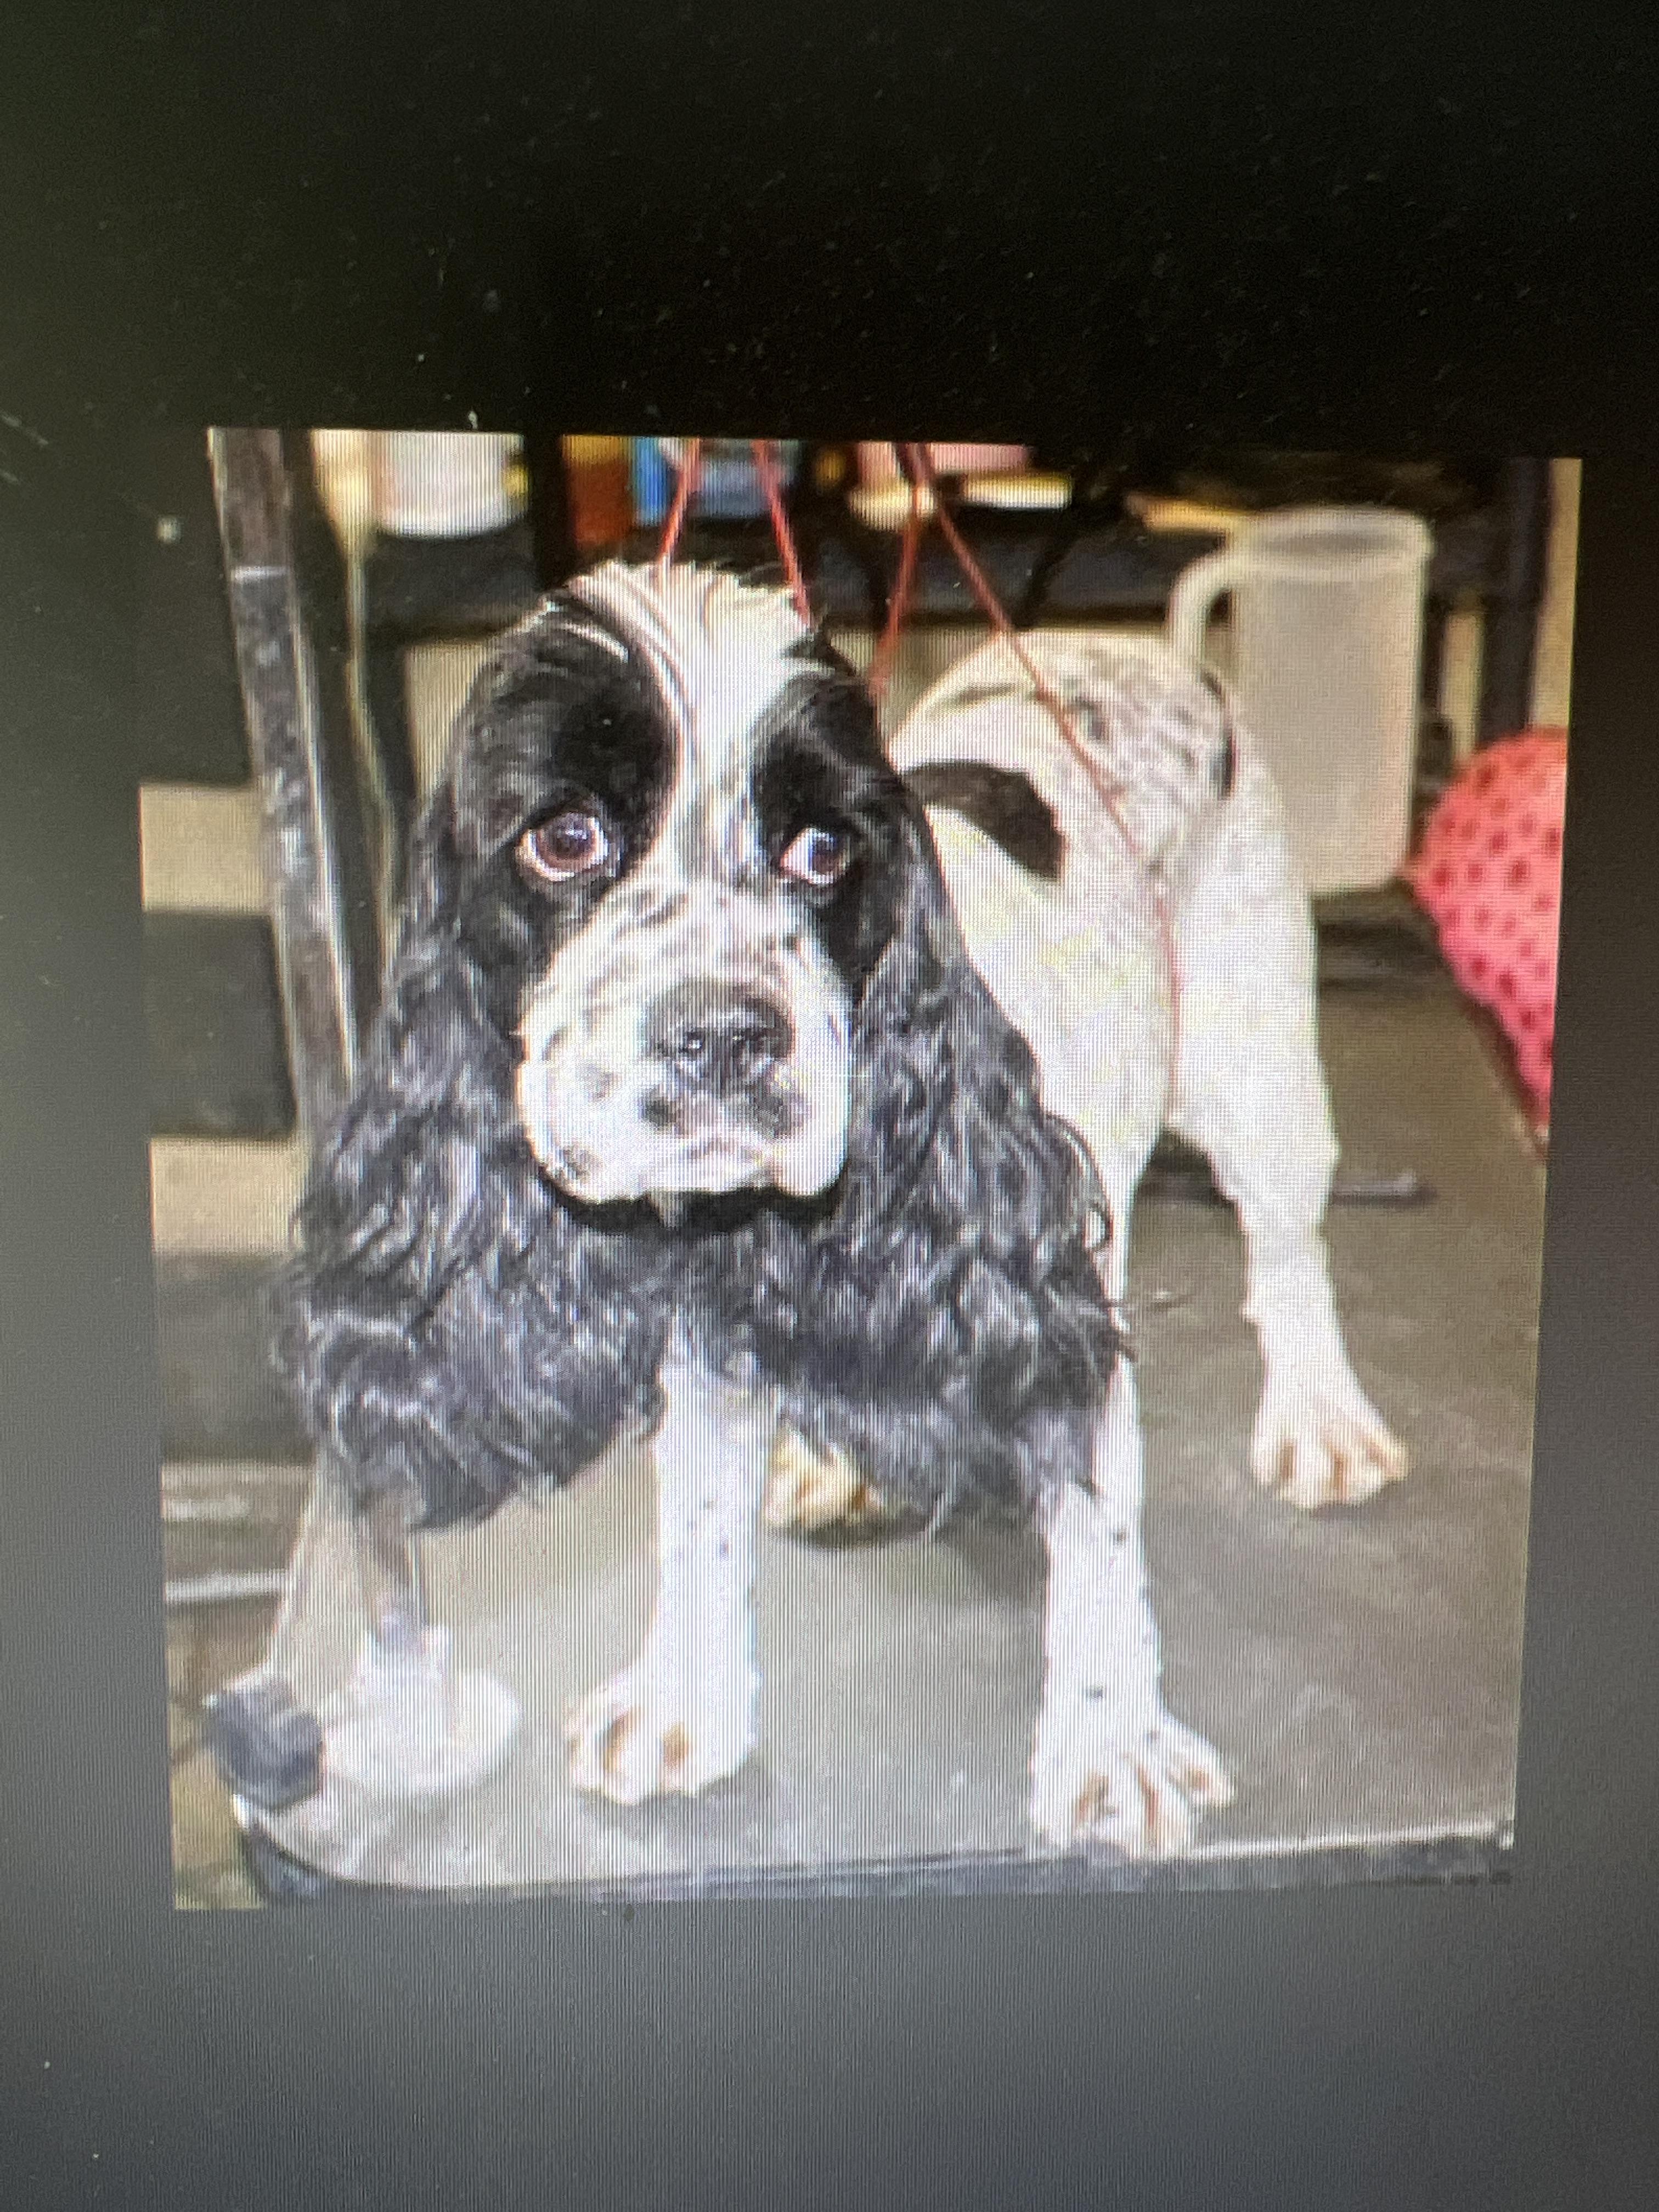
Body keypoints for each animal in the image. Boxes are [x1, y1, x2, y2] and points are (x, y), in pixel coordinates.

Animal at [277, 562, 1397, 1860]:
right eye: (565, 838)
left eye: (821, 851)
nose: (725, 1036)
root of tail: (1152, 653)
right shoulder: (702, 1341)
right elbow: (696, 1515)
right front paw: (684, 1703)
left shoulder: (1056, 1309)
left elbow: (1093, 1520)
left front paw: (1112, 1748)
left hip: (1250, 1056)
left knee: (1285, 1243)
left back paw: (1320, 1421)